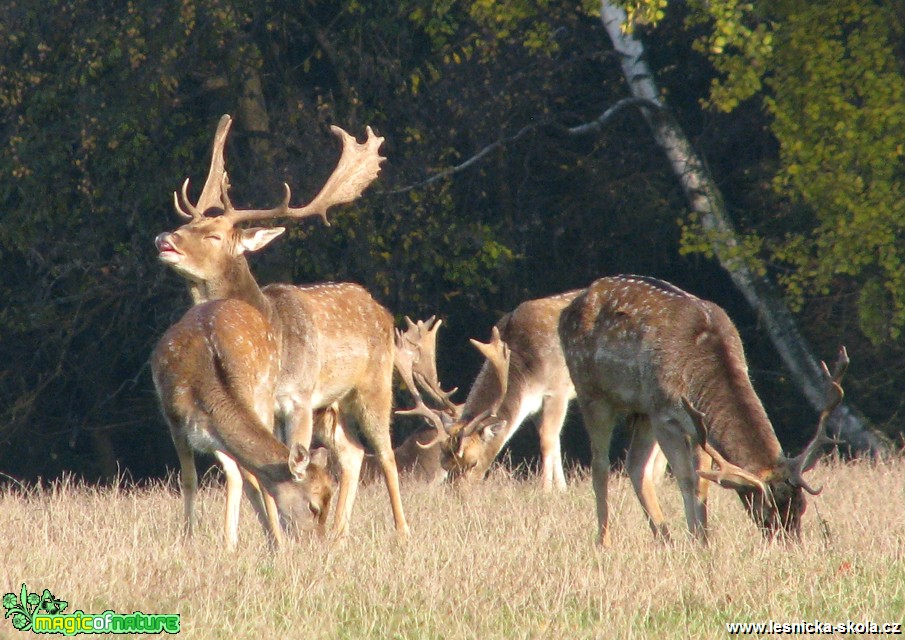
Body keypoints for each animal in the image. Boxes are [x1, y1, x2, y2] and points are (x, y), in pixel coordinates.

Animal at [154, 114, 408, 544]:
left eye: (214, 235)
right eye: (187, 222)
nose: (164, 239)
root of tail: (382, 310)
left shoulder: (298, 397)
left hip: (373, 384)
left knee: (385, 452)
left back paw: (401, 530)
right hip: (331, 406)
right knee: (353, 453)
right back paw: (338, 533)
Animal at [556, 276, 848, 544]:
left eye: (801, 507)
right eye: (765, 512)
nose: (789, 544)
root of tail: (567, 309)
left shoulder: (696, 425)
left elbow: (702, 481)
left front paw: (702, 539)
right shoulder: (664, 415)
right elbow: (685, 478)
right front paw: (696, 540)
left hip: (642, 409)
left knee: (635, 465)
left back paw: (665, 539)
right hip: (591, 391)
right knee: (600, 466)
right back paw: (604, 541)